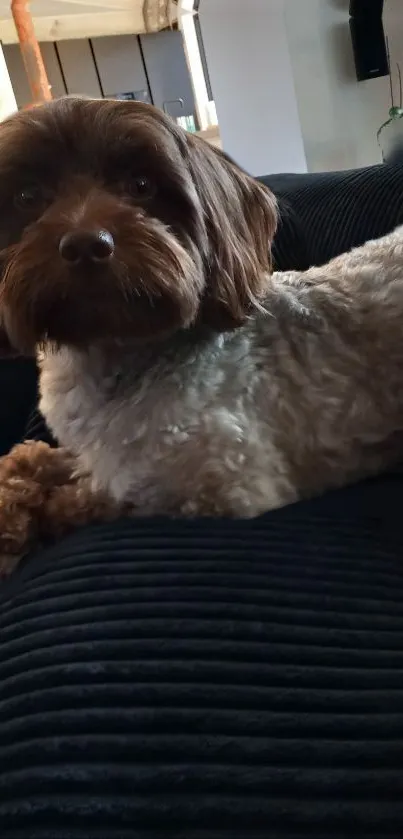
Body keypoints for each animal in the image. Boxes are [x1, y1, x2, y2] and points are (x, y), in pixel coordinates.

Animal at [0, 93, 403, 576]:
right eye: (26, 196)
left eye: (140, 185)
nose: (85, 244)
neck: (116, 357)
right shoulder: (90, 450)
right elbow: (40, 459)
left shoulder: (221, 486)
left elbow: (96, 497)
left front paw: (31, 518)